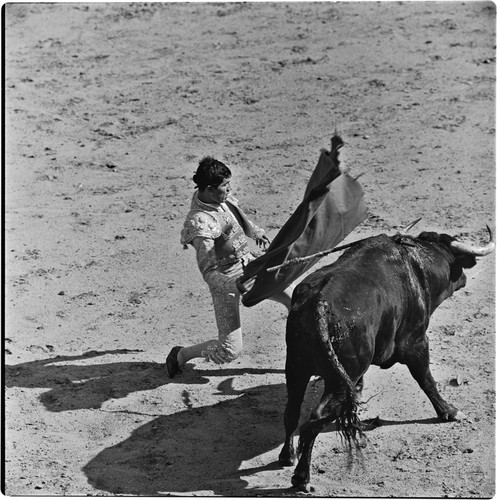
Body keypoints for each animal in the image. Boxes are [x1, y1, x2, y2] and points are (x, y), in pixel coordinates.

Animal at [280, 228, 492, 492]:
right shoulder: (416, 342)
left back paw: (288, 456)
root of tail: (319, 303)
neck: (417, 264)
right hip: (337, 381)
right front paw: (450, 411)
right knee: (313, 421)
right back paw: (302, 478)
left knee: (292, 411)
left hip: (296, 368)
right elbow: (426, 380)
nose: (463, 277)